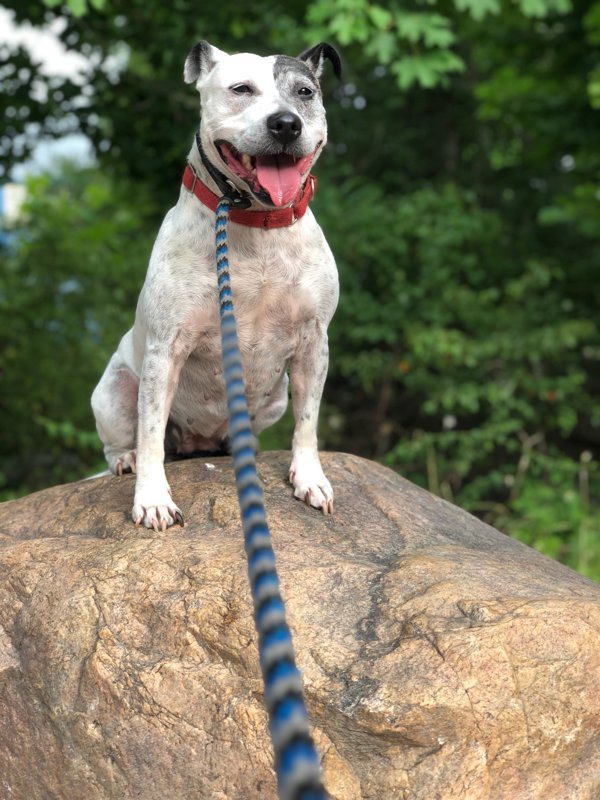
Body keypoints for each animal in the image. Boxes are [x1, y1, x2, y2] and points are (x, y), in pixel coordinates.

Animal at [91, 43, 340, 532]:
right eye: (241, 89)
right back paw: (126, 459)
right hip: (113, 390)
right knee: (126, 440)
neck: (257, 223)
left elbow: (308, 420)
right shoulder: (166, 350)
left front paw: (309, 477)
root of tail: (198, 443)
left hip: (273, 398)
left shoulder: (313, 344)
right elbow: (151, 433)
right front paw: (152, 498)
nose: (286, 123)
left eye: (304, 92)